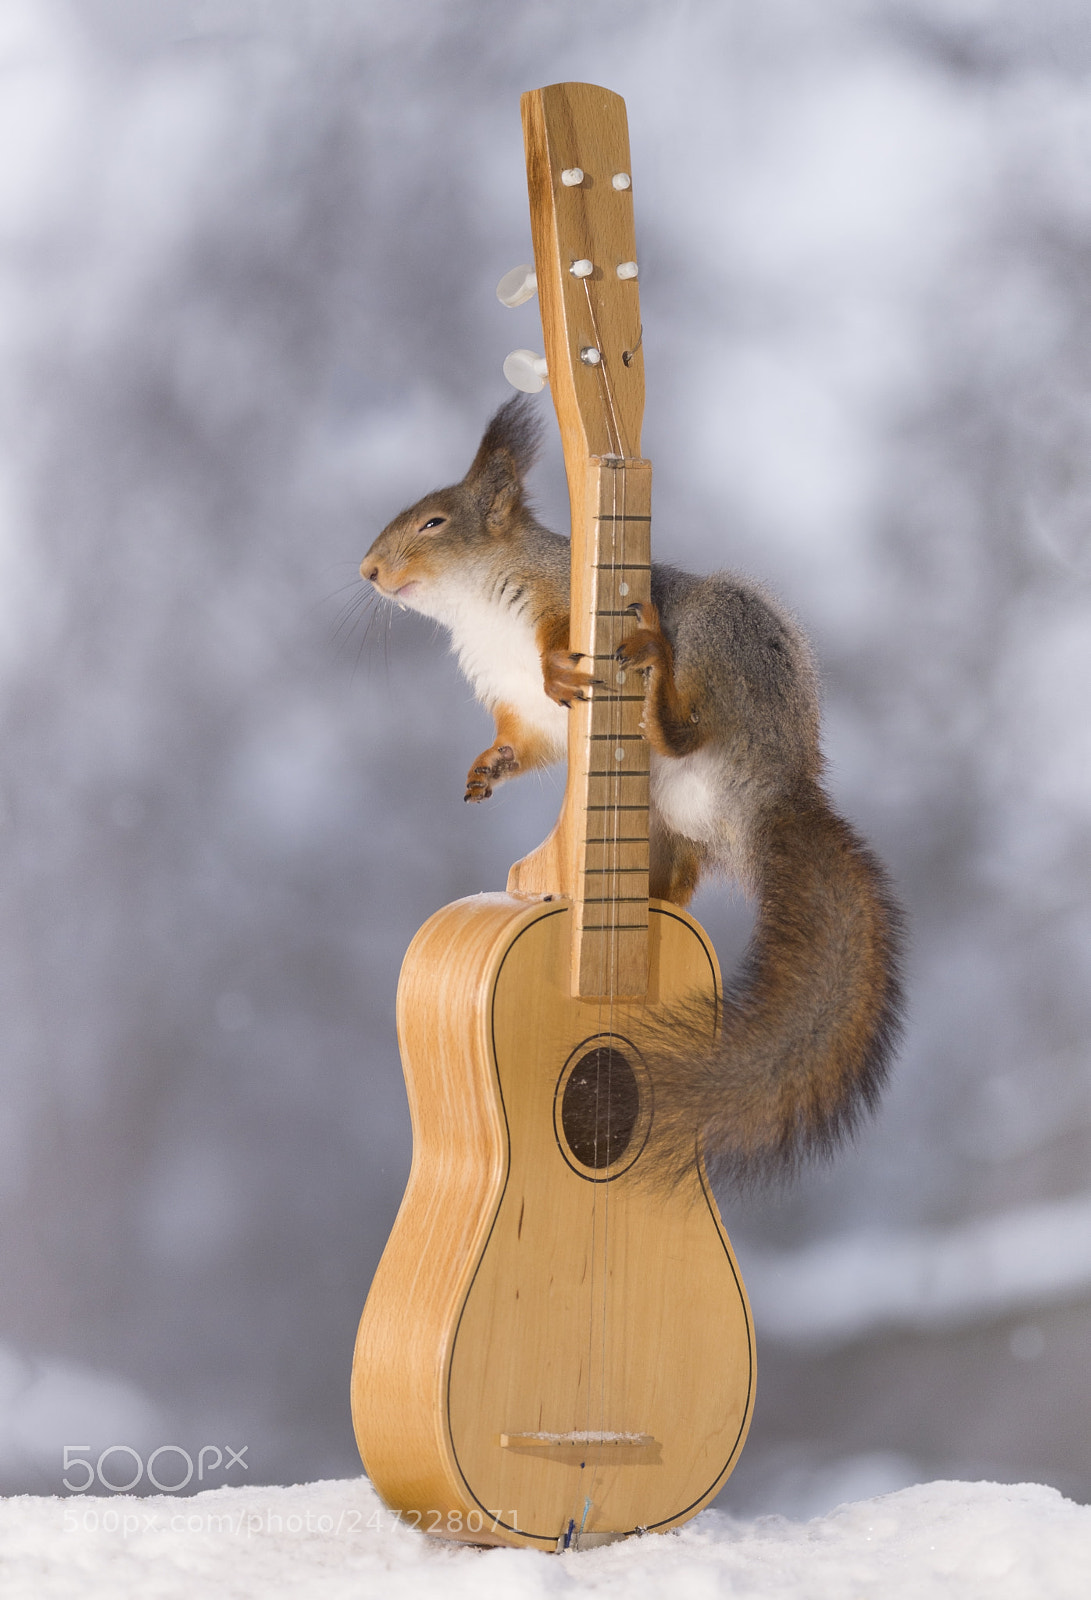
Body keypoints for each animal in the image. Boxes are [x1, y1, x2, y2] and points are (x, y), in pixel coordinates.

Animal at [360, 396, 904, 1189]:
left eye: (433, 522)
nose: (367, 570)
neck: (479, 616)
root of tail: (775, 787)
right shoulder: (520, 713)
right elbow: (524, 745)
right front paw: (484, 769)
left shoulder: (560, 593)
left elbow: (562, 631)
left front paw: (560, 667)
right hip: (666, 824)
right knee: (674, 882)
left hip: (727, 639)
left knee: (693, 723)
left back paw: (658, 700)